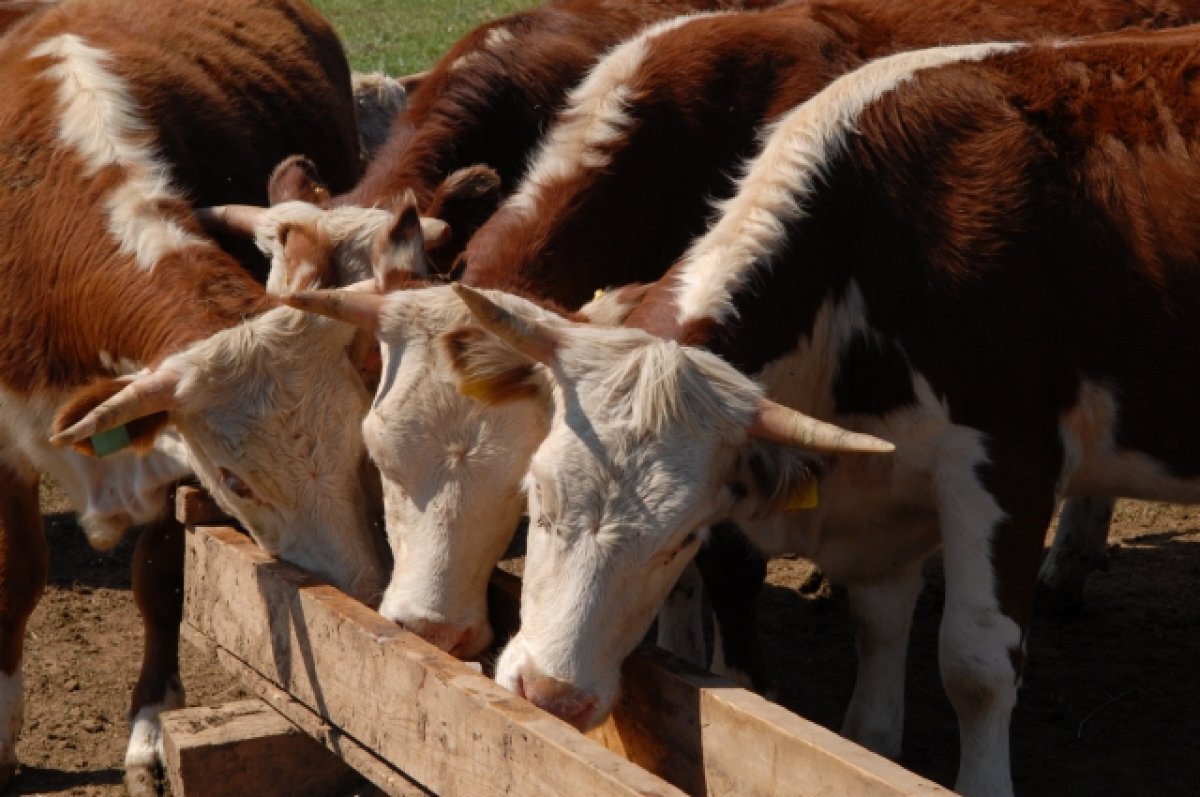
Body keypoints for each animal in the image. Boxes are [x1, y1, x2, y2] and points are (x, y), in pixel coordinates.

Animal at [0, 0, 379, 782]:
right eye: (236, 480)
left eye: (358, 448)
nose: (356, 595)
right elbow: (17, 572)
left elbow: (160, 577)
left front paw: (150, 728)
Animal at [446, 26, 1200, 797]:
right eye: (536, 500)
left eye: (684, 538)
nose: (550, 694)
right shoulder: (885, 493)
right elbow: (871, 682)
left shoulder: (1008, 458)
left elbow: (977, 664)